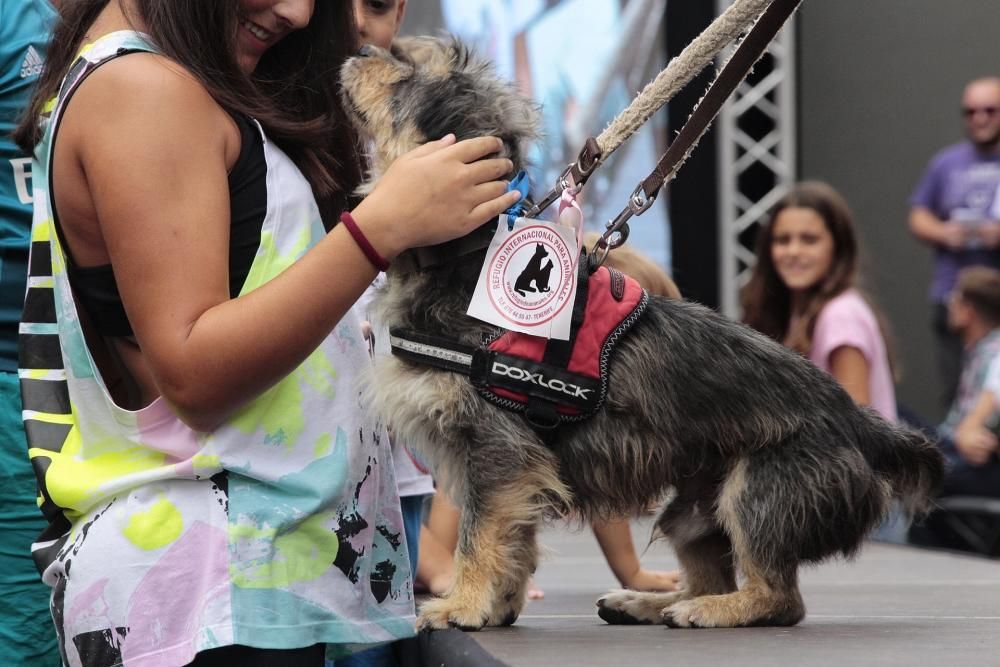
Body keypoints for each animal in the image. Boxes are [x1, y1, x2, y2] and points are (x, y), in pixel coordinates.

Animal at [340, 36, 940, 632]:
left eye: (405, 71)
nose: (360, 48)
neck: (464, 257)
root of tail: (861, 423)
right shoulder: (517, 465)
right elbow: (516, 539)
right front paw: (500, 605)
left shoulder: (497, 449)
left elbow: (479, 536)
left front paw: (461, 605)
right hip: (692, 511)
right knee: (711, 571)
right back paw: (650, 603)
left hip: (756, 492)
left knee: (779, 598)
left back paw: (709, 610)